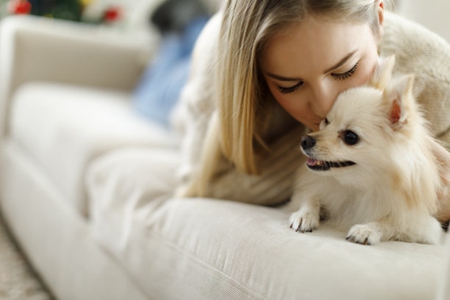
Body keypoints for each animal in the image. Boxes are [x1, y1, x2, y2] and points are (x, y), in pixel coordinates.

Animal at [288, 56, 442, 246]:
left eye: (350, 137)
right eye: (326, 121)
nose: (305, 140)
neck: (356, 186)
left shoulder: (427, 226)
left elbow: (394, 221)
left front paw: (367, 230)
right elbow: (311, 196)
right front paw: (305, 214)